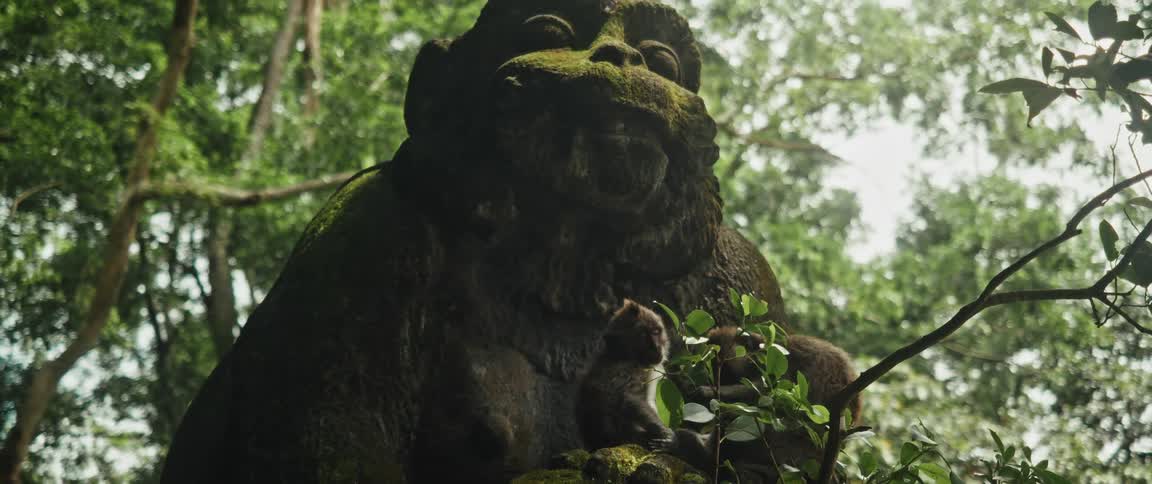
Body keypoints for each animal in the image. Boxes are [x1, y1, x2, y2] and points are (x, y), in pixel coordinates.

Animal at [577, 299, 677, 452]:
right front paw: (665, 433)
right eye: (643, 336)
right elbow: (627, 397)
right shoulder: (629, 369)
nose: (656, 347)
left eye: (655, 332)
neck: (625, 354)